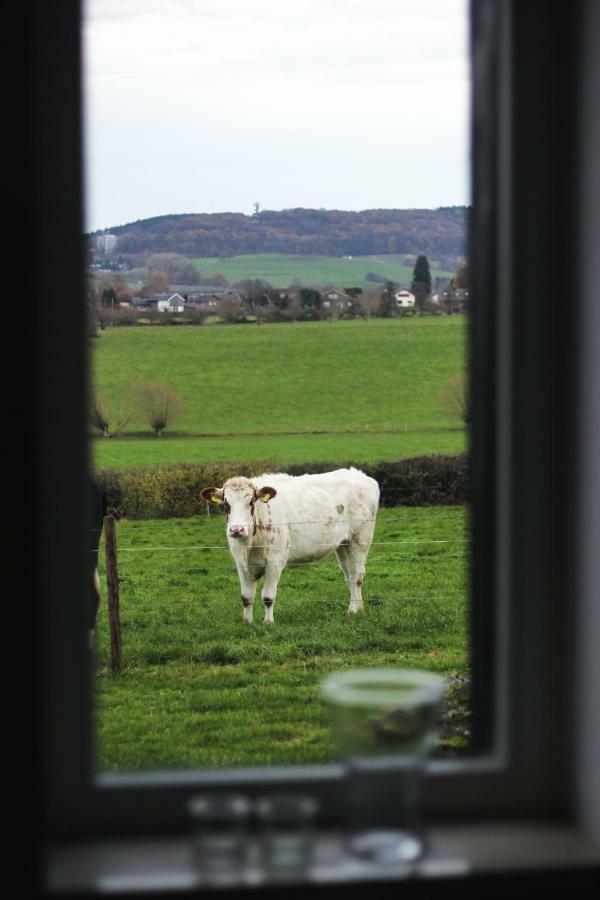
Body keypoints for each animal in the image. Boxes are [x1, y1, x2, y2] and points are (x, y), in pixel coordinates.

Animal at [202, 468, 380, 624]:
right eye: (226, 504)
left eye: (251, 501)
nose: (236, 529)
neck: (250, 546)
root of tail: (360, 474)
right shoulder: (241, 564)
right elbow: (246, 597)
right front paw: (247, 622)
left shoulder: (275, 561)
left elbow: (268, 597)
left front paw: (268, 622)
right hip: (343, 545)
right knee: (349, 575)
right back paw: (359, 607)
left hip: (360, 540)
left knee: (356, 576)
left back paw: (352, 610)